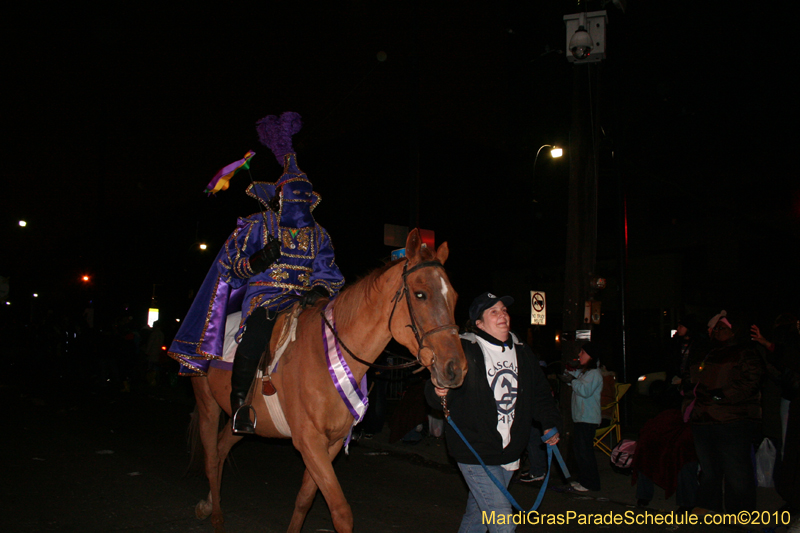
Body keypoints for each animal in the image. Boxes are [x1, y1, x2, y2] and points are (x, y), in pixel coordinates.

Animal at [190, 230, 466, 532]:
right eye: (420, 294)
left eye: (454, 297)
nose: (456, 368)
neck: (326, 357)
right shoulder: (309, 441)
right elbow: (341, 511)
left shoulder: (330, 444)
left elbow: (305, 498)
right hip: (207, 405)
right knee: (212, 456)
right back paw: (215, 514)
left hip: (242, 419)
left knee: (221, 446)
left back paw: (208, 504)